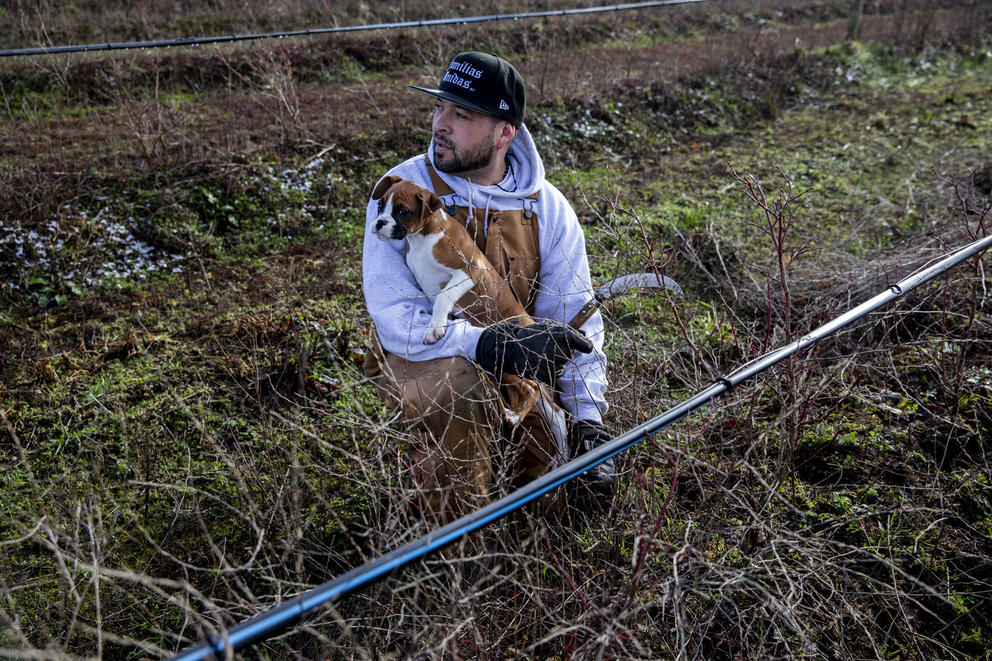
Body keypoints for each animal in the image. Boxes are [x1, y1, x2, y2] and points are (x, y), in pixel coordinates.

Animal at [372, 173, 548, 426]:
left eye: (403, 211)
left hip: (508, 362)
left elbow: (442, 298)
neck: (422, 238)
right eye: (380, 206)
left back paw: (513, 416)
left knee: (533, 390)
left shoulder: (469, 271)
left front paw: (434, 328)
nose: (379, 223)